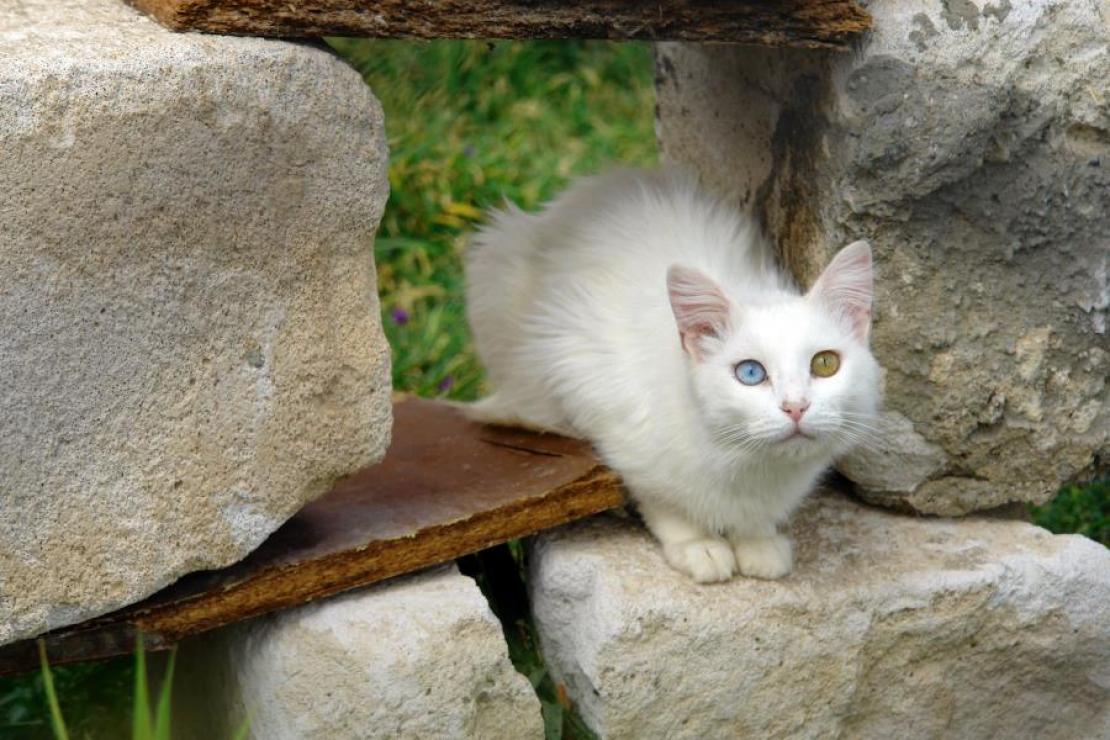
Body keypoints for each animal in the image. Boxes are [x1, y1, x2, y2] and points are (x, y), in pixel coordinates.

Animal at [463, 170, 879, 581]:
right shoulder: (595, 393)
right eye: (750, 372)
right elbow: (663, 501)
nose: (796, 407)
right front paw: (700, 547)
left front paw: (756, 542)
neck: (749, 464)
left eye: (824, 364)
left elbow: (754, 519)